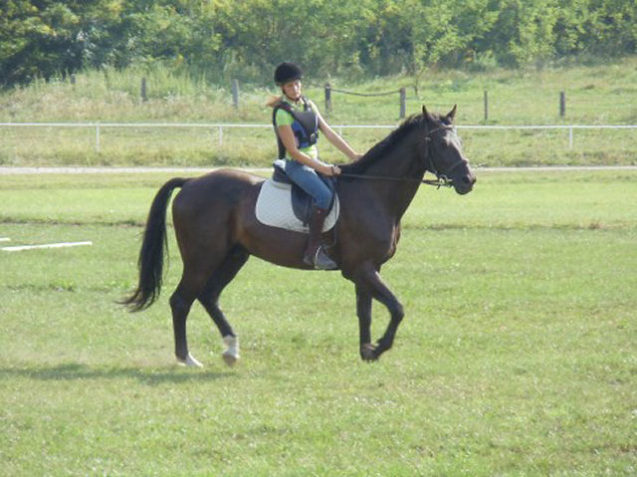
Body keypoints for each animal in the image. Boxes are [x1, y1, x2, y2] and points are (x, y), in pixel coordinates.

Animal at [121, 106, 474, 366]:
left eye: (459, 141)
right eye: (443, 144)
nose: (468, 180)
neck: (373, 191)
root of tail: (192, 182)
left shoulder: (368, 268)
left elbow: (366, 311)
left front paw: (366, 351)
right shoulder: (361, 268)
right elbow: (397, 307)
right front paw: (378, 348)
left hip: (234, 255)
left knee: (209, 296)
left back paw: (231, 349)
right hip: (202, 258)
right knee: (182, 300)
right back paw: (186, 358)